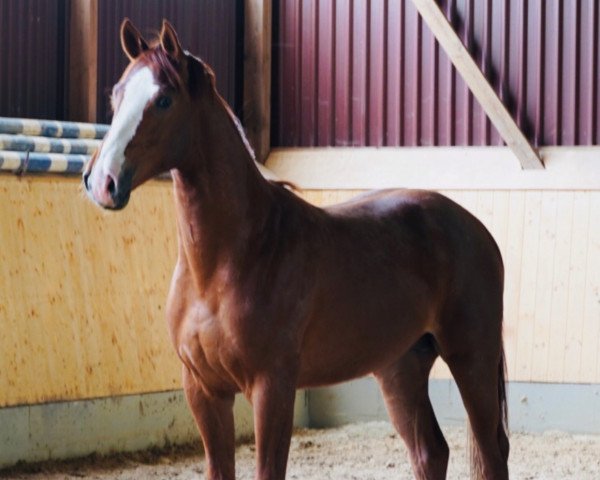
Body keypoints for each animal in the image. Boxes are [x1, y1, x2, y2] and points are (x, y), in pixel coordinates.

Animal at [82, 19, 508, 480]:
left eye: (163, 100)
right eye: (116, 95)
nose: (101, 181)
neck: (225, 264)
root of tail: (476, 228)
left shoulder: (272, 387)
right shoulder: (204, 390)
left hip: (471, 358)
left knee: (492, 450)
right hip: (400, 368)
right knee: (431, 451)